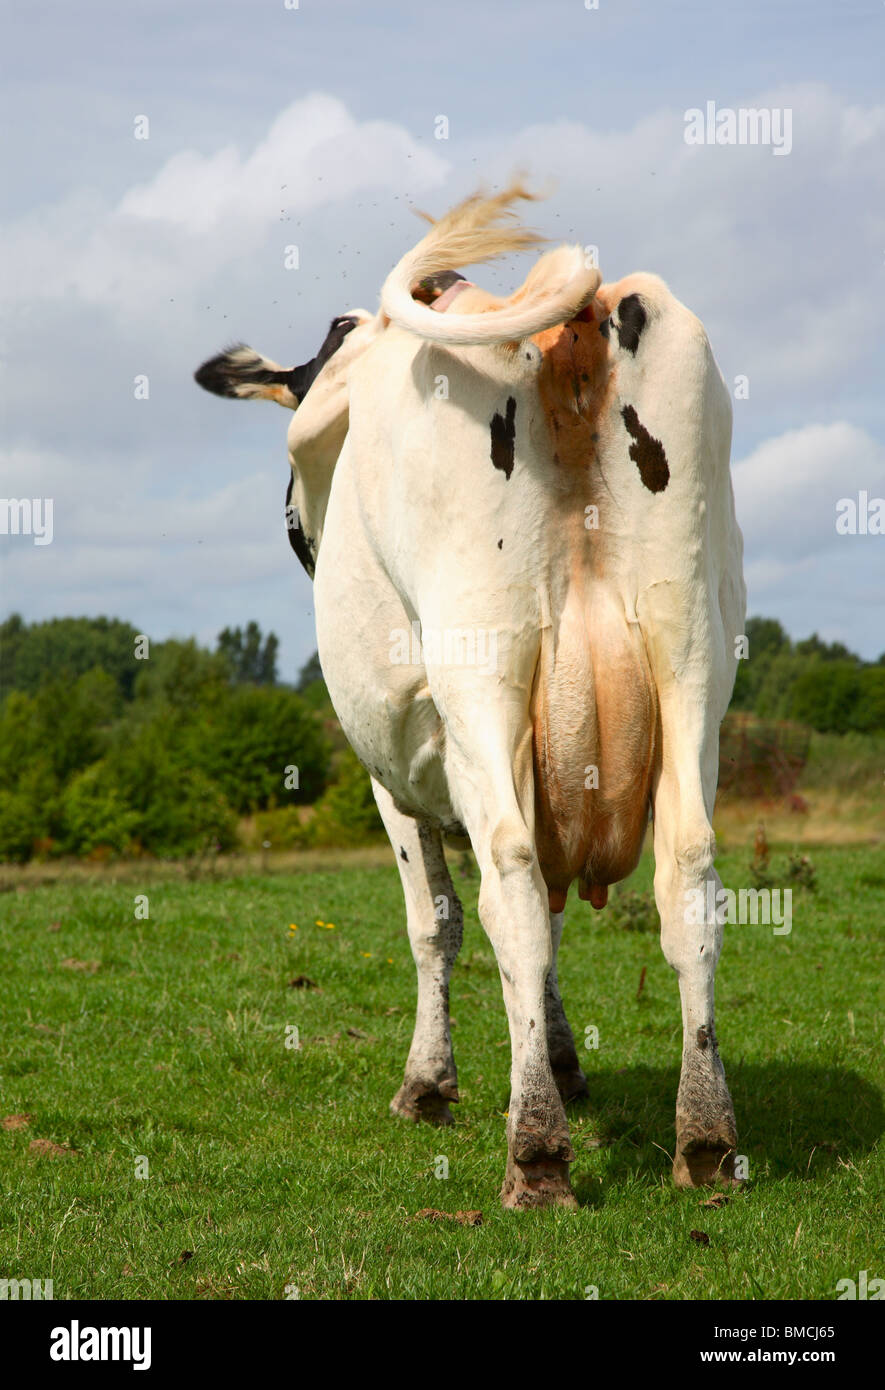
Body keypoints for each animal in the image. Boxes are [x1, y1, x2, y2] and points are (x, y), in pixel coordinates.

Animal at [195, 183, 746, 1209]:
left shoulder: (393, 774)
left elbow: (436, 922)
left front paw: (429, 1084)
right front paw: (563, 1057)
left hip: (482, 667)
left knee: (512, 882)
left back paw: (535, 1153)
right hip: (690, 655)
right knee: (687, 872)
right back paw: (703, 1137)